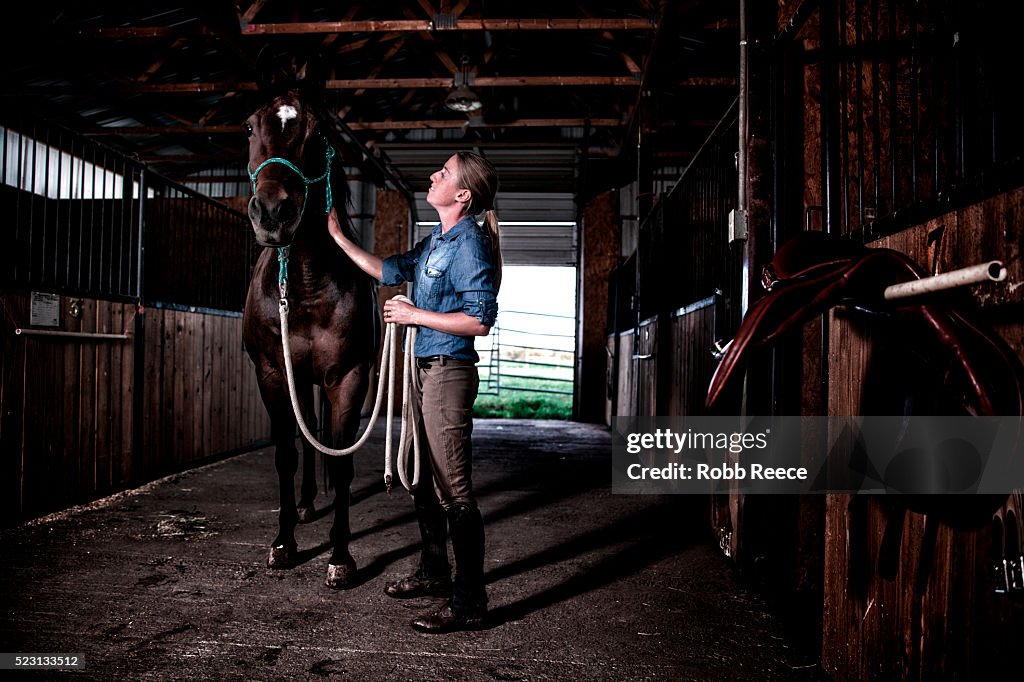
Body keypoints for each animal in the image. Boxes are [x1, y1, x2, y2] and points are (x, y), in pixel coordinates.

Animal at [241, 71, 378, 585]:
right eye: (249, 126)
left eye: (318, 131)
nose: (272, 213)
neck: (303, 281)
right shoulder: (272, 373)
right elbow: (286, 454)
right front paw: (283, 543)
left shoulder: (349, 377)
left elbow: (341, 462)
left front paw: (341, 556)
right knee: (305, 437)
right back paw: (303, 504)